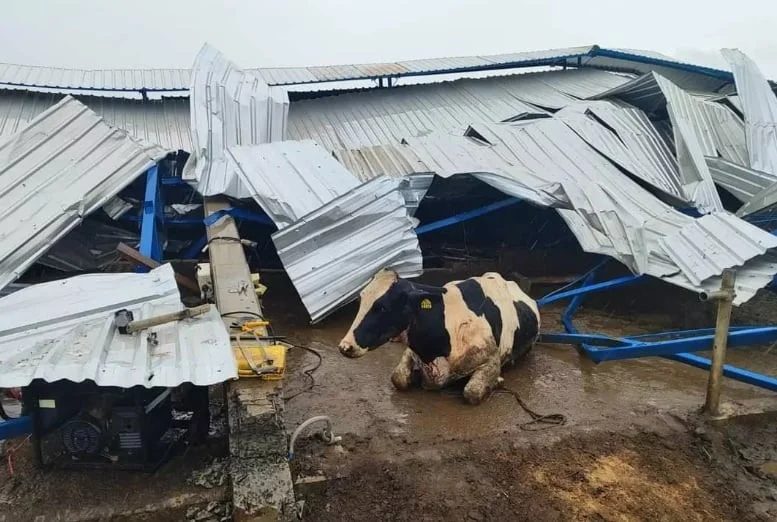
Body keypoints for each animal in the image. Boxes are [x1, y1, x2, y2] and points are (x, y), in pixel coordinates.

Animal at [340, 268, 540, 402]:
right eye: (361, 300)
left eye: (382, 307)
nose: (345, 346)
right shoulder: (411, 351)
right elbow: (398, 378)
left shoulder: (491, 358)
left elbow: (472, 392)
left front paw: (496, 381)